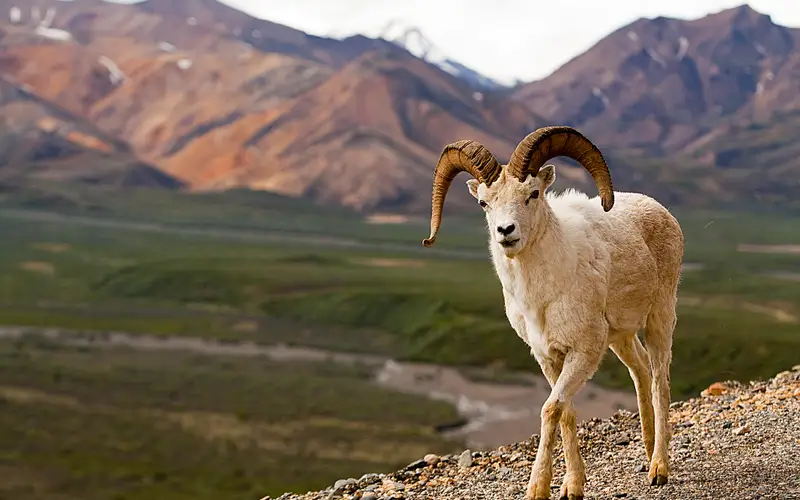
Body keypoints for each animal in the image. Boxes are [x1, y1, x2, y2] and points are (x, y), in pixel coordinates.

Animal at [421, 126, 684, 500]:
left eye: (532, 194)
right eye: (484, 202)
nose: (506, 232)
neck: (541, 297)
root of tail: (662, 212)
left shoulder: (583, 352)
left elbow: (551, 409)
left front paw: (538, 489)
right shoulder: (548, 357)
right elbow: (567, 413)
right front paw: (572, 486)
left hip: (659, 317)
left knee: (660, 379)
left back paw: (658, 469)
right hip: (621, 336)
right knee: (641, 371)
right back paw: (647, 453)